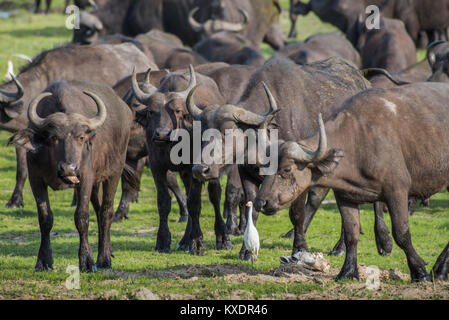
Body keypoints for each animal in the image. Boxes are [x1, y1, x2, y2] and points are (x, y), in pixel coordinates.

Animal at [9, 80, 131, 272]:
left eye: (81, 137)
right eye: (53, 138)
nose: (69, 168)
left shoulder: (86, 178)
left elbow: (81, 217)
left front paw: (87, 261)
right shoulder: (36, 179)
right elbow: (45, 218)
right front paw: (43, 261)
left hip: (114, 172)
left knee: (106, 211)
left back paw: (104, 258)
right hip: (96, 183)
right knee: (98, 210)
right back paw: (107, 250)